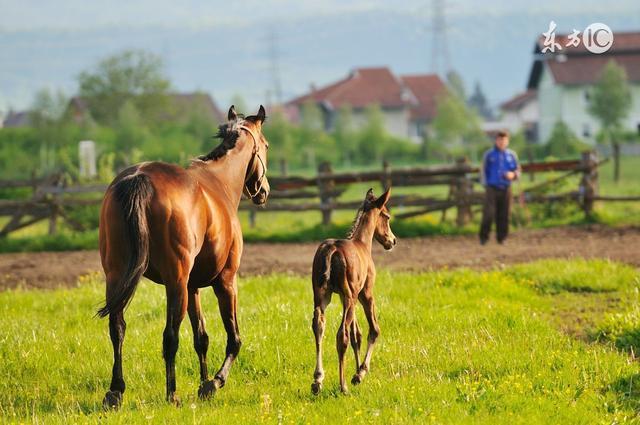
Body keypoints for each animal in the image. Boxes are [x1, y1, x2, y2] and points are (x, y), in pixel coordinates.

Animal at [97, 104, 270, 406]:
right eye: (266, 146)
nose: (265, 191)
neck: (219, 182)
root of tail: (139, 177)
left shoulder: (193, 286)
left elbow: (201, 337)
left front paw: (203, 382)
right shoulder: (225, 282)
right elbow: (233, 337)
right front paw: (214, 382)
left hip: (117, 276)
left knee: (117, 328)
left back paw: (116, 391)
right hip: (175, 282)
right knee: (170, 336)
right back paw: (172, 394)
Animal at [310, 187, 396, 392]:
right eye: (387, 216)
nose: (393, 240)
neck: (362, 243)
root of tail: (331, 250)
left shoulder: (347, 297)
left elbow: (357, 334)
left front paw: (356, 371)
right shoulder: (365, 294)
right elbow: (373, 329)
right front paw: (360, 373)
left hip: (322, 296)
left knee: (319, 325)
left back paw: (318, 380)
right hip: (349, 298)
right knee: (342, 334)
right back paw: (342, 386)